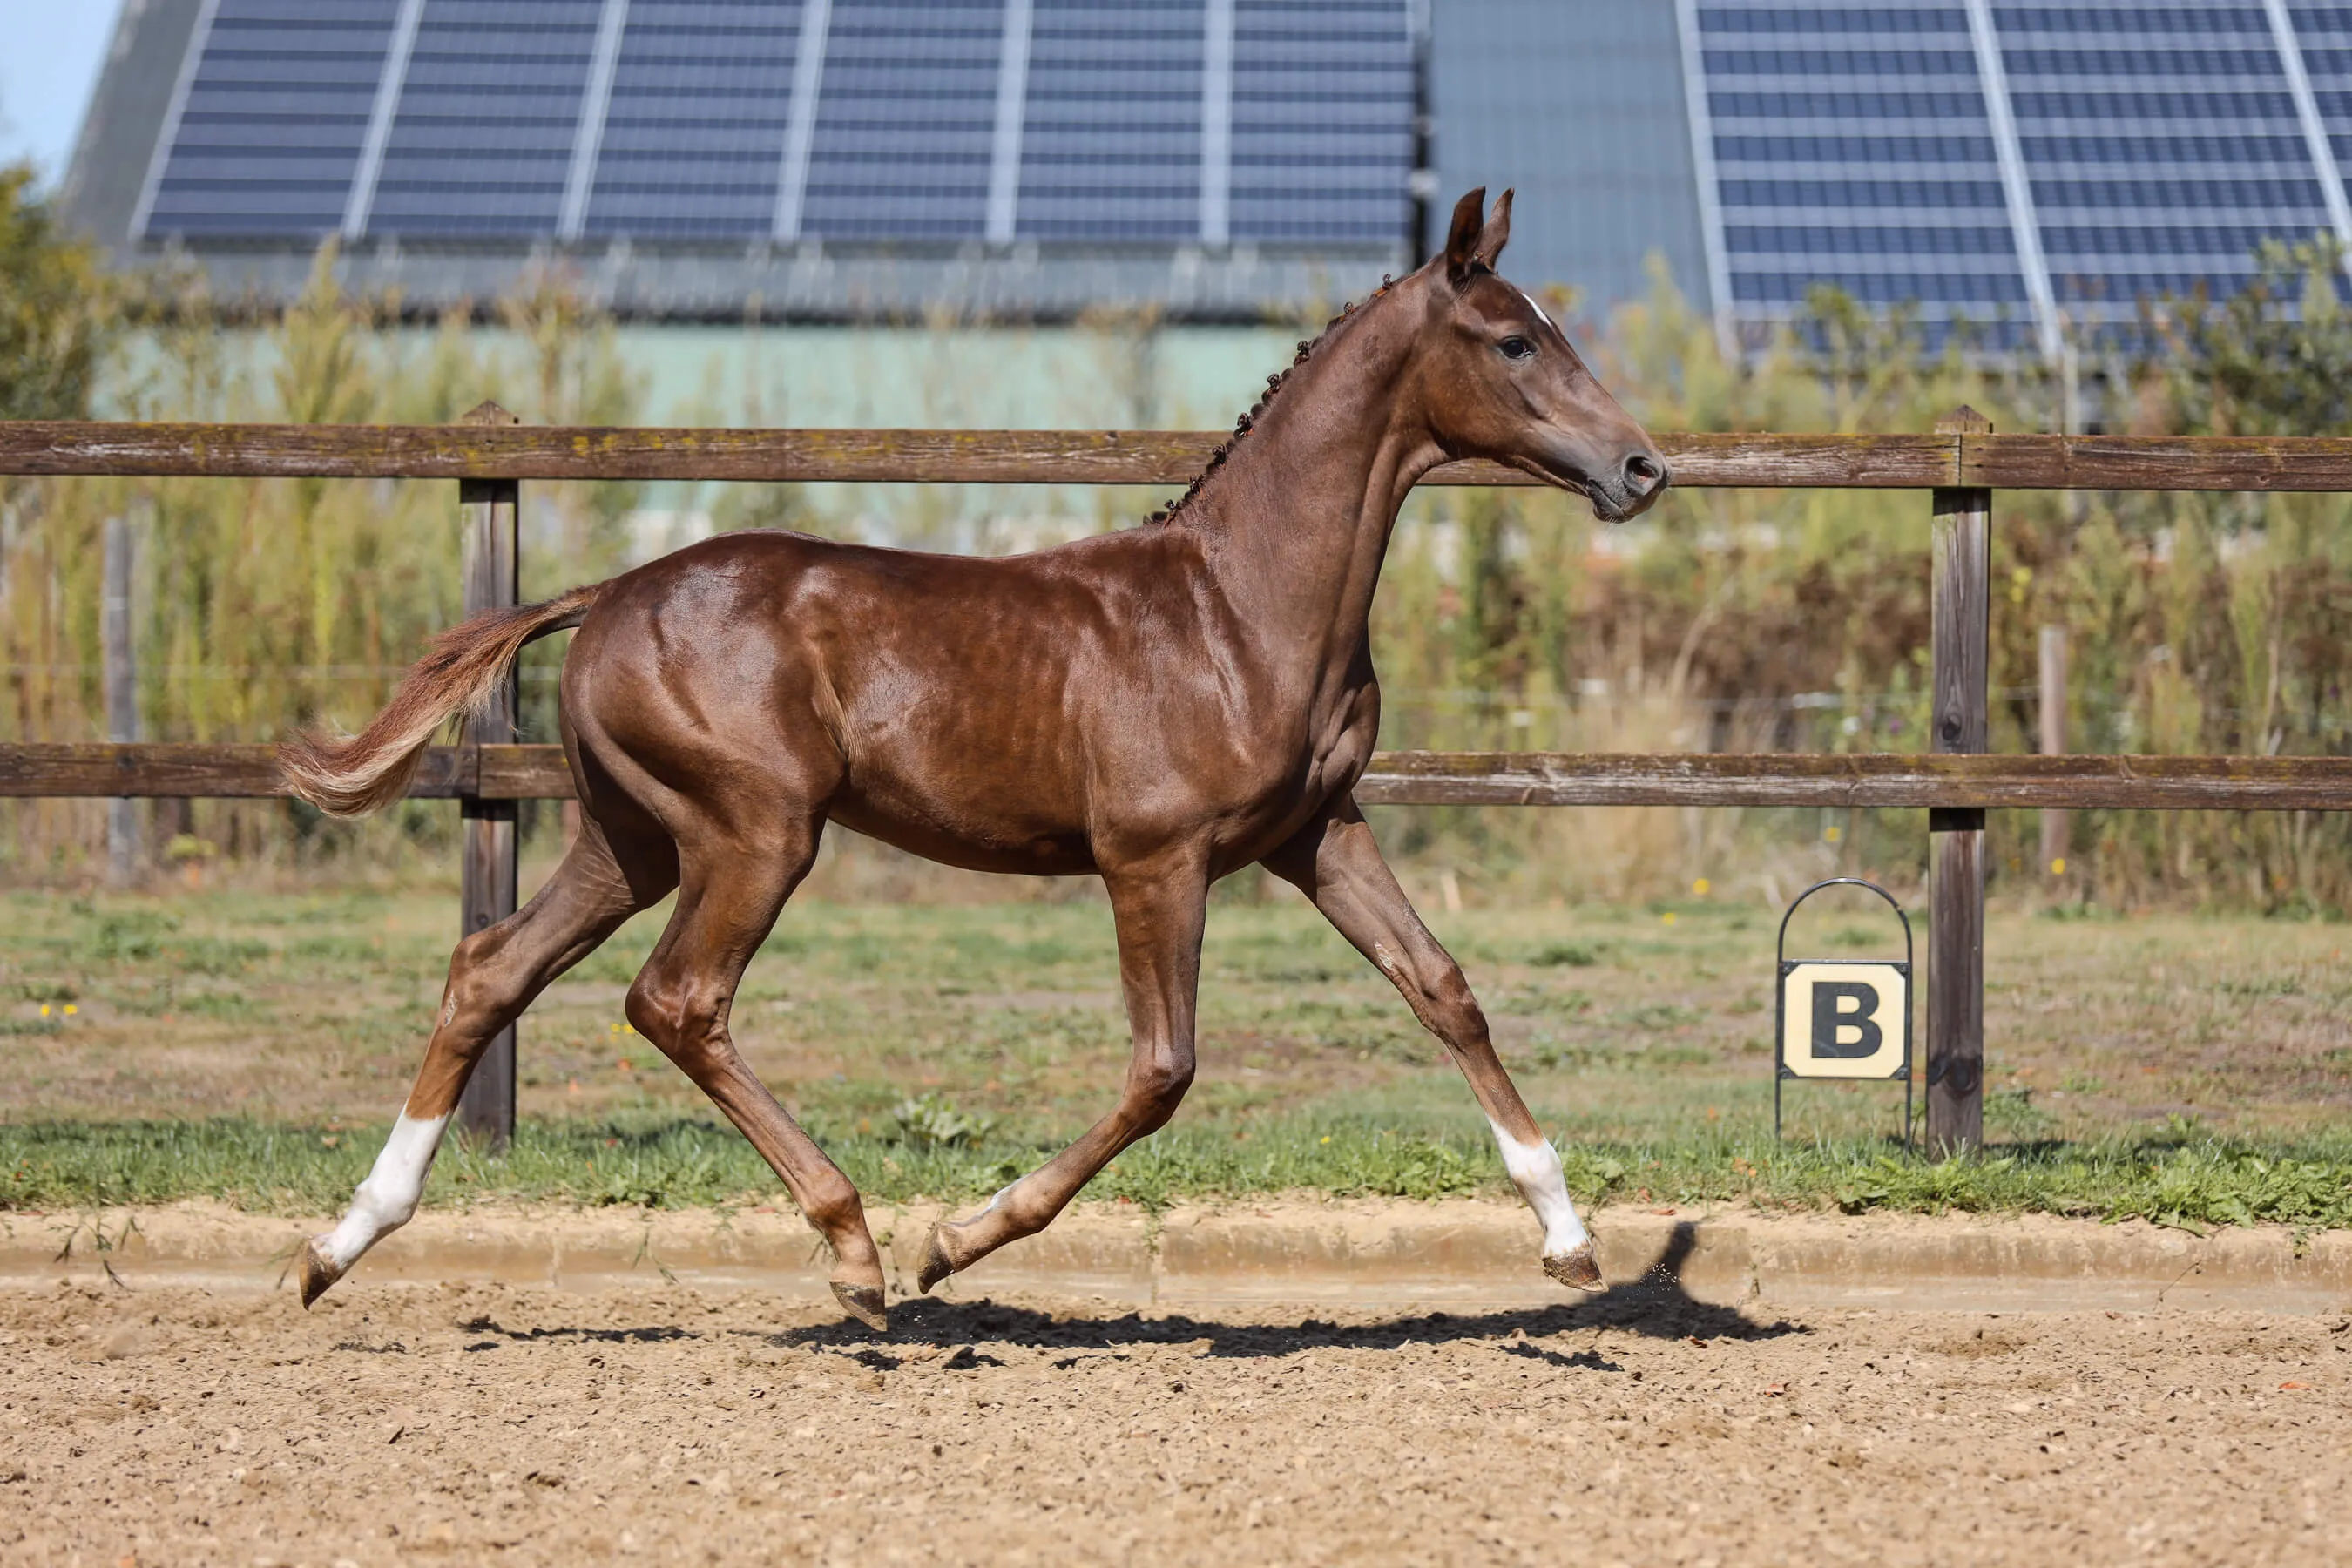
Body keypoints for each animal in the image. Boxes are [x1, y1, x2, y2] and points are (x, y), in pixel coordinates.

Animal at [281, 188, 1669, 1330]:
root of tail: (605, 595)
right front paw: (954, 1239)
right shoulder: (1153, 860)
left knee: (490, 971)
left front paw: (1572, 1240)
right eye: (1514, 341)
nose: (1644, 467)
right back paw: (856, 1250)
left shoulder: (1314, 835)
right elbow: (1163, 1070)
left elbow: (1443, 986)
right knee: (675, 1000)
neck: (1239, 607)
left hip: (631, 841)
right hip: (753, 833)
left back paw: (335, 1246)